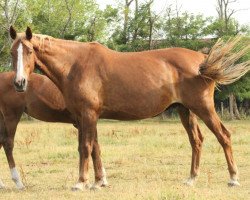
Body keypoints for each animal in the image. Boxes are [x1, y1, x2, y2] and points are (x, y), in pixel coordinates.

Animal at [8, 27, 249, 190]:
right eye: (12, 52)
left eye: (29, 51)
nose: (19, 83)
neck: (76, 65)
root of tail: (203, 60)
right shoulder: (87, 117)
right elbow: (95, 148)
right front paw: (99, 182)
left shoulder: (88, 115)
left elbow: (85, 147)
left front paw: (81, 182)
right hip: (185, 110)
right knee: (196, 141)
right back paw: (191, 179)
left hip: (203, 108)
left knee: (224, 136)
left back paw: (233, 178)